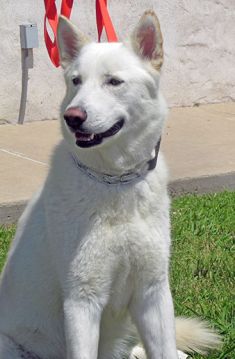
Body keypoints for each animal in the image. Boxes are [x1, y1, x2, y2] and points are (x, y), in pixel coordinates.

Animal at [0, 11, 220, 359]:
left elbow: (163, 348)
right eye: (75, 81)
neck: (115, 181)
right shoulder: (82, 301)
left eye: (113, 82)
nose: (73, 117)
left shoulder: (153, 294)